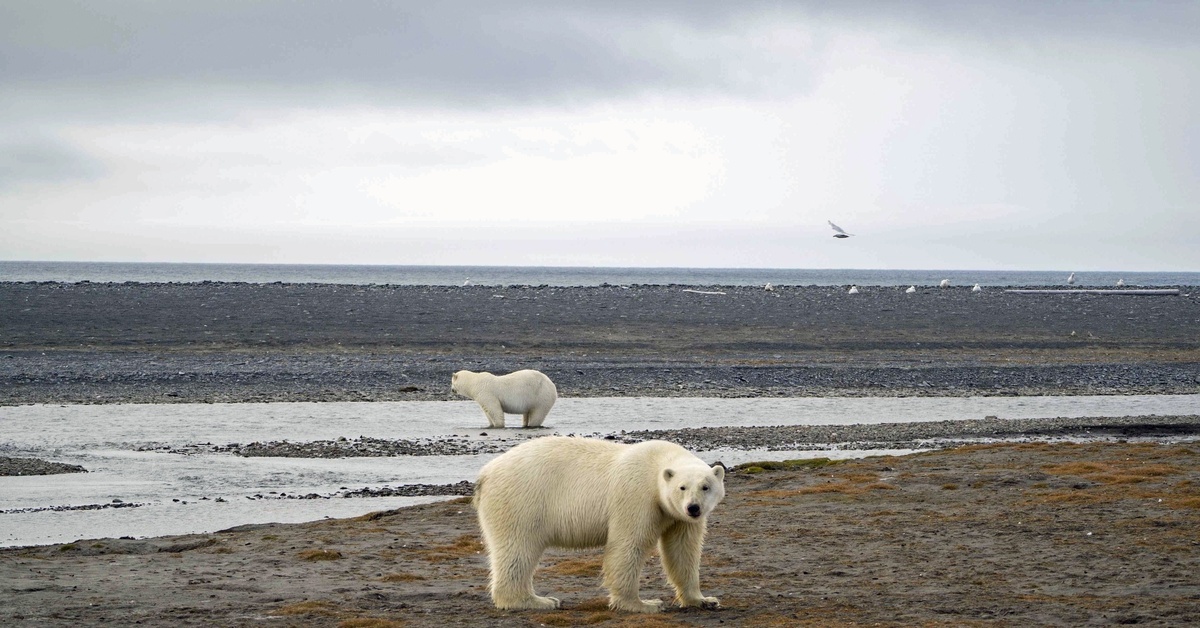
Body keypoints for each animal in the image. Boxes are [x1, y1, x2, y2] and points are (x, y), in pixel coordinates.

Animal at [472, 434, 724, 612]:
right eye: (682, 487)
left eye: (705, 486)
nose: (693, 508)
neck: (656, 464)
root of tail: (485, 473)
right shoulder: (637, 496)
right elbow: (628, 545)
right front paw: (644, 604)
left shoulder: (676, 517)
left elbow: (683, 550)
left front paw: (704, 600)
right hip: (521, 501)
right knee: (518, 550)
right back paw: (537, 601)